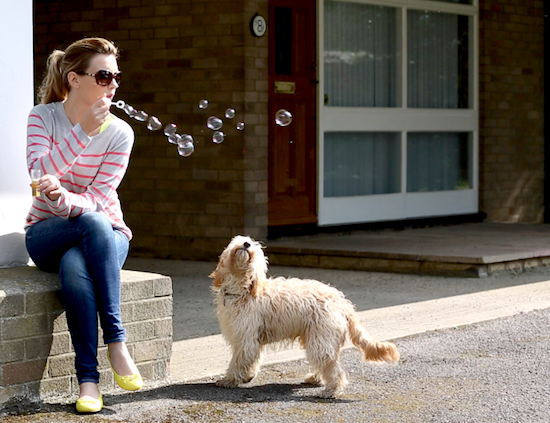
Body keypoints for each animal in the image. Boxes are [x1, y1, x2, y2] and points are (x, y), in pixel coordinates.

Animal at [211, 235, 402, 398]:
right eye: (239, 239)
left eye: (254, 245)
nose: (246, 244)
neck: (244, 289)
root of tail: (341, 301)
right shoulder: (252, 338)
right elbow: (252, 358)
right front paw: (247, 376)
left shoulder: (245, 336)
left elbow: (239, 359)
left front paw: (229, 380)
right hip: (319, 337)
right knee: (327, 362)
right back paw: (316, 378)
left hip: (320, 338)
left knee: (333, 369)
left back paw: (330, 391)